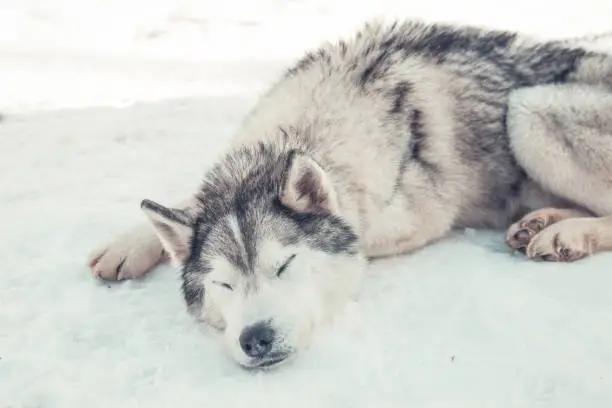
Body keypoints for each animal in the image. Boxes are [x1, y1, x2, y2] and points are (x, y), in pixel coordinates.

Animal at [88, 19, 612, 370]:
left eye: (286, 265)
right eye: (224, 285)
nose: (256, 339)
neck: (300, 135)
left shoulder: (417, 215)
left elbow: (360, 239)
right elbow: (185, 201)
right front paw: (127, 244)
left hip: (526, 111)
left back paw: (567, 235)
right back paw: (539, 223)